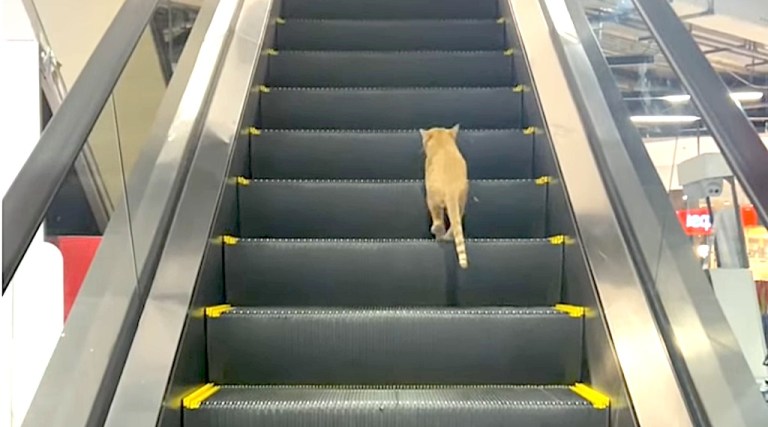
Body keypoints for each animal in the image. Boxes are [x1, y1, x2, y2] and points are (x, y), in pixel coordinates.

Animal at [420, 123, 468, 270]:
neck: (442, 143)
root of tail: (451, 189)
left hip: (432, 199)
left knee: (438, 221)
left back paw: (438, 233)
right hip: (461, 201)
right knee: (455, 223)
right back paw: (447, 237)